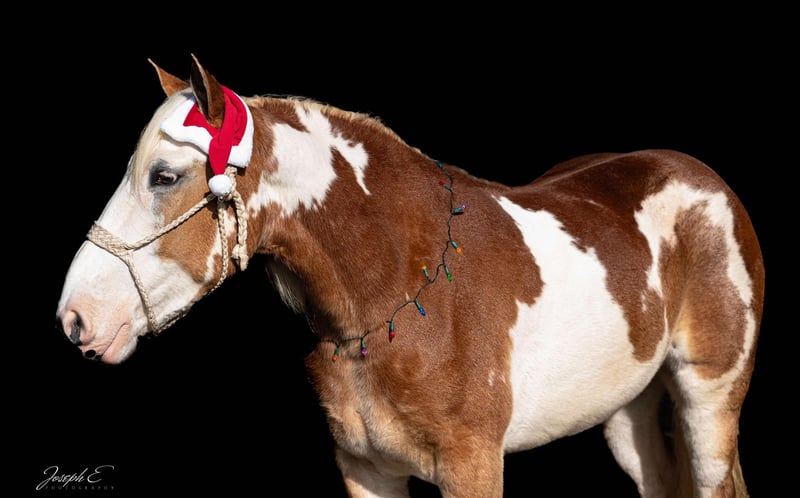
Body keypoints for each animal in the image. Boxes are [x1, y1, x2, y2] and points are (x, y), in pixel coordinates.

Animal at [55, 55, 764, 498]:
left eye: (164, 176)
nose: (76, 318)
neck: (399, 296)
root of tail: (704, 179)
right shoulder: (366, 471)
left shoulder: (473, 468)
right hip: (626, 412)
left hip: (709, 400)